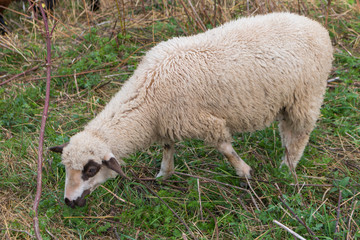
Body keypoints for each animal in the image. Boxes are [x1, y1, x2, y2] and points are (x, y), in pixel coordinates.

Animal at [49, 12, 334, 208]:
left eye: (90, 170)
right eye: (65, 168)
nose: (69, 201)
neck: (147, 97)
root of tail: (316, 25)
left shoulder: (204, 121)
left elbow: (225, 148)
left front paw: (245, 173)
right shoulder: (169, 123)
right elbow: (168, 147)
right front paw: (164, 174)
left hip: (307, 94)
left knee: (300, 133)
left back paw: (287, 167)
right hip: (290, 99)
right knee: (288, 132)